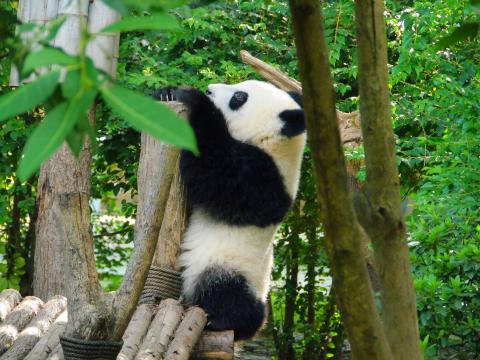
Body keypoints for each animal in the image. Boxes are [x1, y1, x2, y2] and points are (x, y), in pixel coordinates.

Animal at [156, 79, 306, 340]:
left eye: (239, 97)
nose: (209, 89)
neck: (272, 145)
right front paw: (166, 93)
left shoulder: (263, 180)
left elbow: (215, 171)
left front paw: (196, 100)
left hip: (231, 268)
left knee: (229, 294)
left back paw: (221, 320)